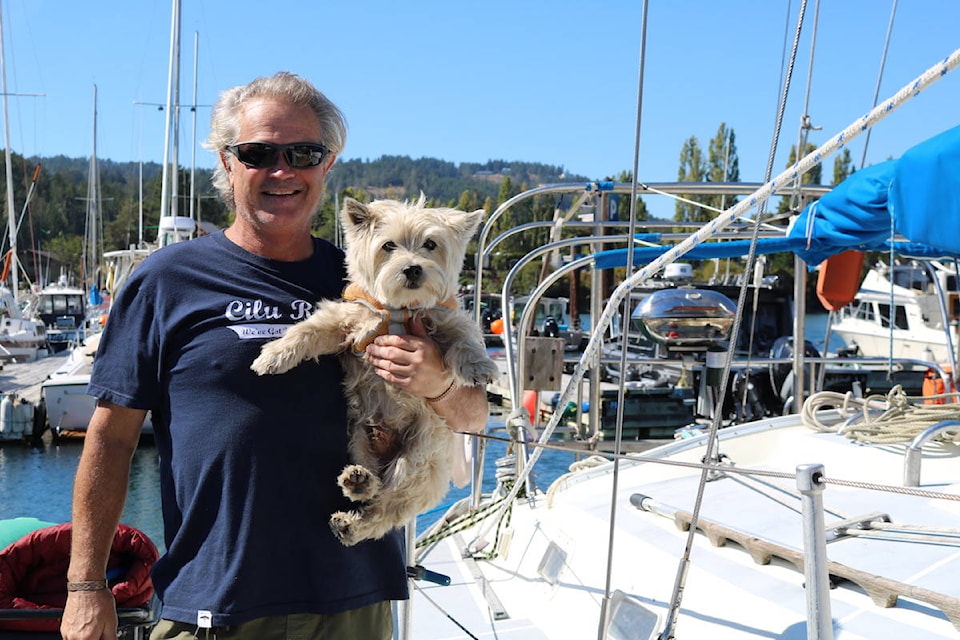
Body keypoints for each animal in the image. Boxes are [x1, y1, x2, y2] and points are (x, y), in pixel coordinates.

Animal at [251, 195, 498, 544]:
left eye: (430, 244)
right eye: (389, 245)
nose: (412, 268)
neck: (398, 309)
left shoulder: (446, 319)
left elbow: (464, 339)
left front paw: (479, 366)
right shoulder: (345, 321)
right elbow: (307, 331)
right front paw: (272, 356)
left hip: (418, 457)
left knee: (388, 504)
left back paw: (352, 519)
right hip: (357, 438)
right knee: (374, 488)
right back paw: (357, 484)